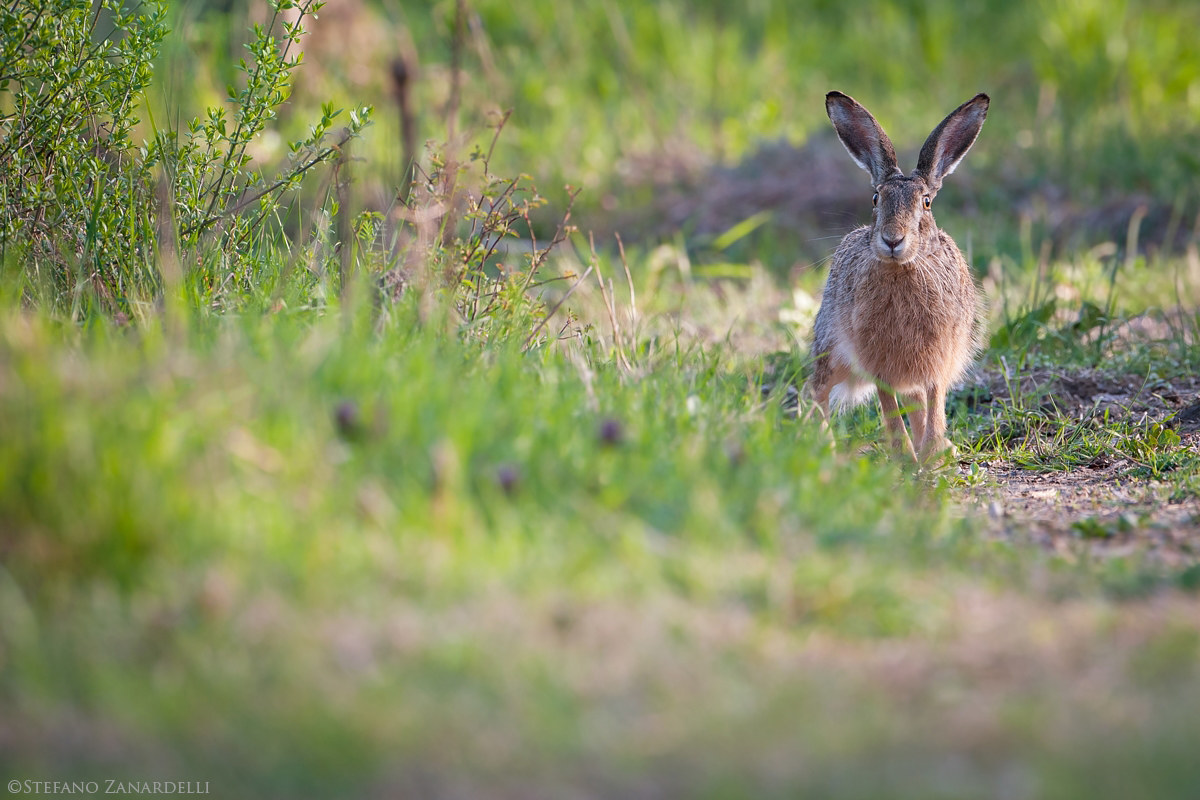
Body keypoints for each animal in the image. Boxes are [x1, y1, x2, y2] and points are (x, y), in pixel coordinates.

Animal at [805, 91, 989, 463]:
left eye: (927, 202)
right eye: (876, 198)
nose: (892, 240)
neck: (901, 269)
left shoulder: (937, 357)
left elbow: (934, 401)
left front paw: (933, 454)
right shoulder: (877, 362)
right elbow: (889, 406)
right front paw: (905, 457)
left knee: (916, 400)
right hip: (831, 349)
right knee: (818, 392)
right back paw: (822, 447)